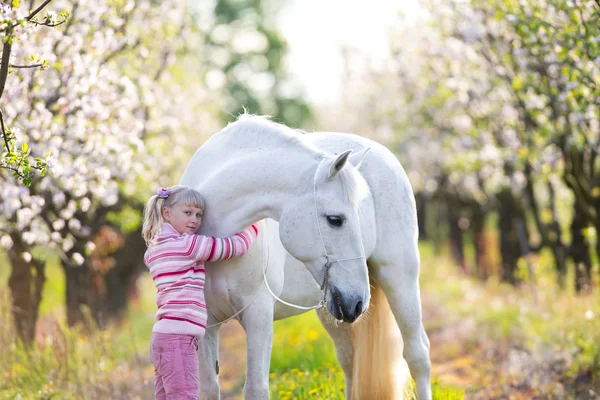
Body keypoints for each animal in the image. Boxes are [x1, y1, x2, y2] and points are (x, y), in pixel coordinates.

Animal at [179, 114, 432, 398]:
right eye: (335, 219)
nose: (359, 302)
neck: (212, 243)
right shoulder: (206, 325)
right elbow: (209, 388)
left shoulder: (258, 316)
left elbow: (256, 388)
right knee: (349, 361)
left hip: (398, 278)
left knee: (418, 355)